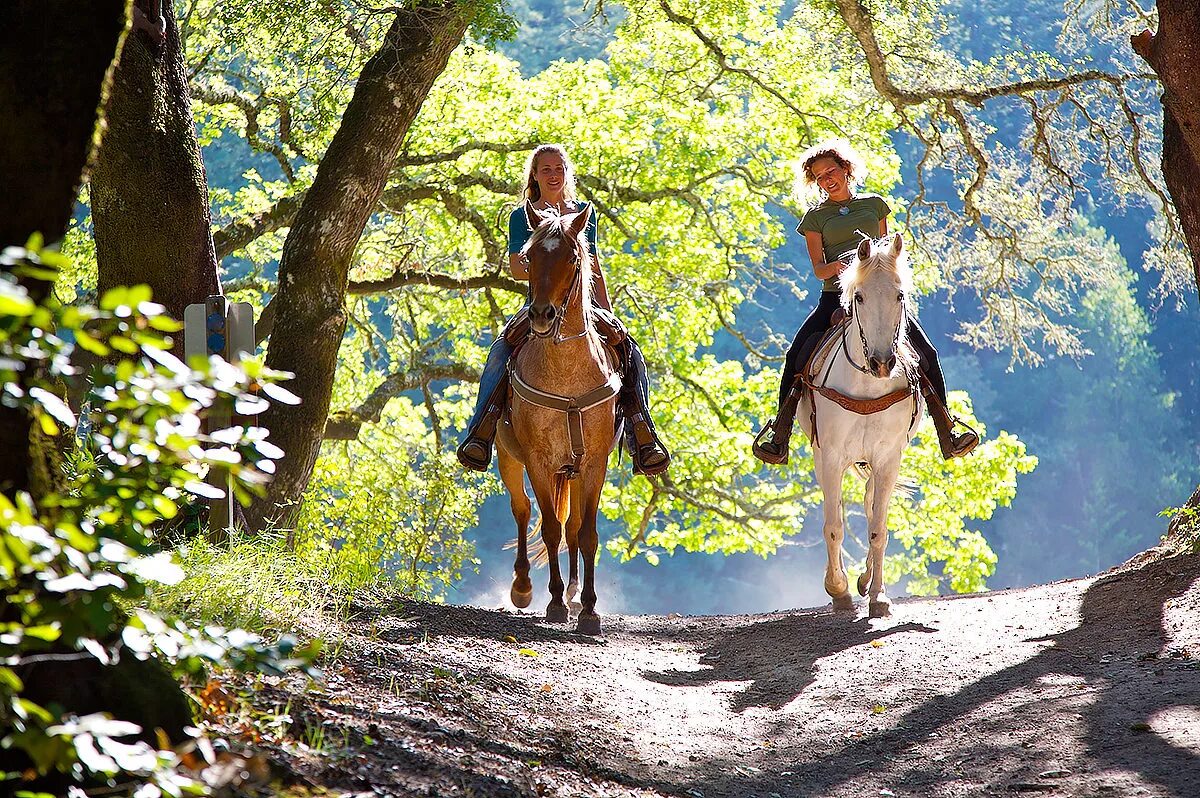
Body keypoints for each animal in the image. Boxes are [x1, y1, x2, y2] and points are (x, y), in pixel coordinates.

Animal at [492, 204, 619, 633]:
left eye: (572, 258)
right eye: (530, 258)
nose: (543, 316)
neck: (567, 378)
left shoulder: (594, 463)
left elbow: (587, 533)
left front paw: (590, 610)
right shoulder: (539, 460)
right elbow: (548, 527)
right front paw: (554, 603)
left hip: (574, 471)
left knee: (575, 527)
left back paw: (576, 594)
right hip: (508, 458)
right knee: (522, 509)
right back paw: (523, 586)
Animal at [801, 234, 921, 619]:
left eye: (899, 295)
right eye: (859, 297)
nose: (882, 362)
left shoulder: (888, 459)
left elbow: (878, 528)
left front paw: (879, 596)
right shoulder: (829, 456)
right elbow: (834, 527)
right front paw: (838, 590)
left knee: (869, 506)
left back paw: (866, 580)